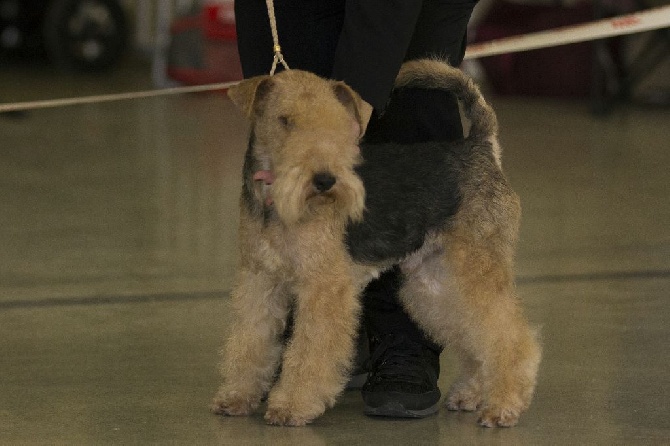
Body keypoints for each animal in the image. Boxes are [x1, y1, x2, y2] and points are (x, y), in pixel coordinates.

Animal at [213, 59, 544, 428]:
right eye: (285, 120)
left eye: (339, 124)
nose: (325, 181)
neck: (277, 206)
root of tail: (480, 145)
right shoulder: (260, 280)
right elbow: (249, 340)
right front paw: (236, 396)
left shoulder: (323, 287)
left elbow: (309, 350)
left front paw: (291, 405)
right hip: (435, 282)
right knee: (471, 334)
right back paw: (470, 393)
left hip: (475, 268)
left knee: (510, 336)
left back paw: (503, 406)